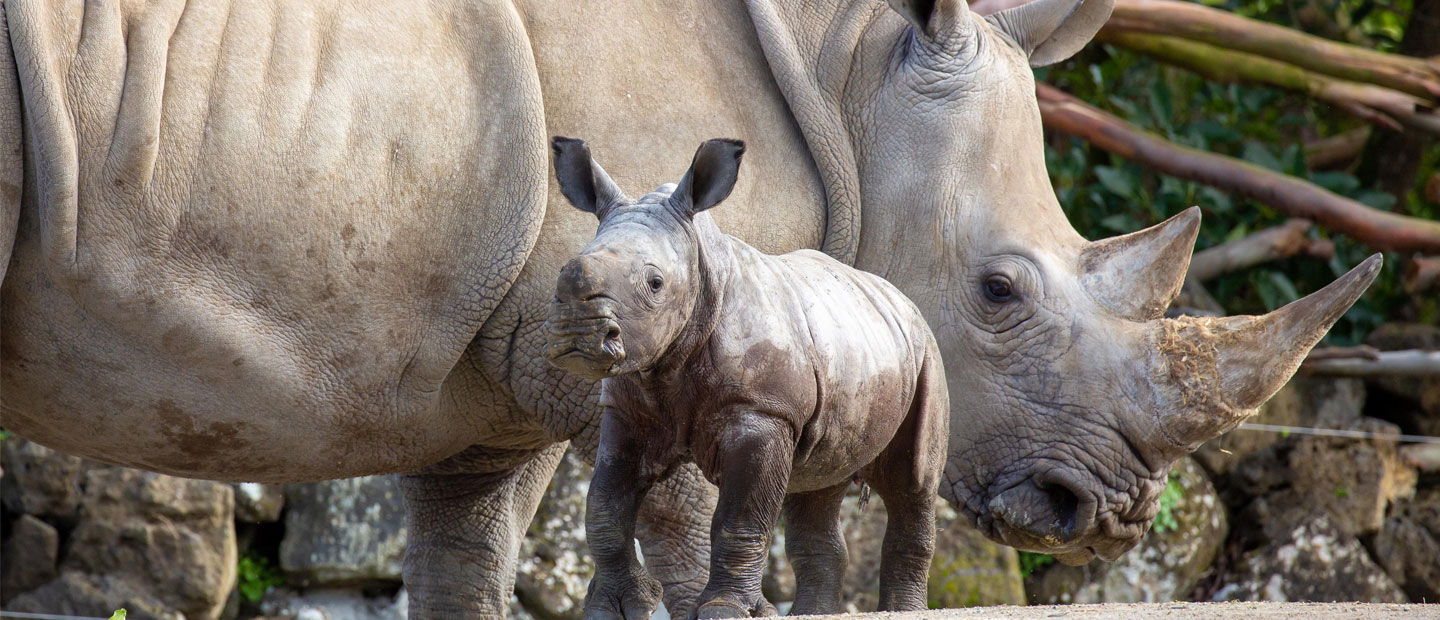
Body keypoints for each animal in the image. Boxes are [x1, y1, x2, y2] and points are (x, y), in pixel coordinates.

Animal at [548, 137, 948, 618]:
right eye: (564, 272)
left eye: (654, 283)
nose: (578, 329)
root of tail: (900, 297)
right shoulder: (629, 408)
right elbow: (605, 509)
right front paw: (615, 608)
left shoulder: (763, 413)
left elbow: (738, 520)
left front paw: (724, 609)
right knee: (818, 480)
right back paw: (811, 613)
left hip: (926, 352)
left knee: (911, 483)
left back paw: (902, 609)